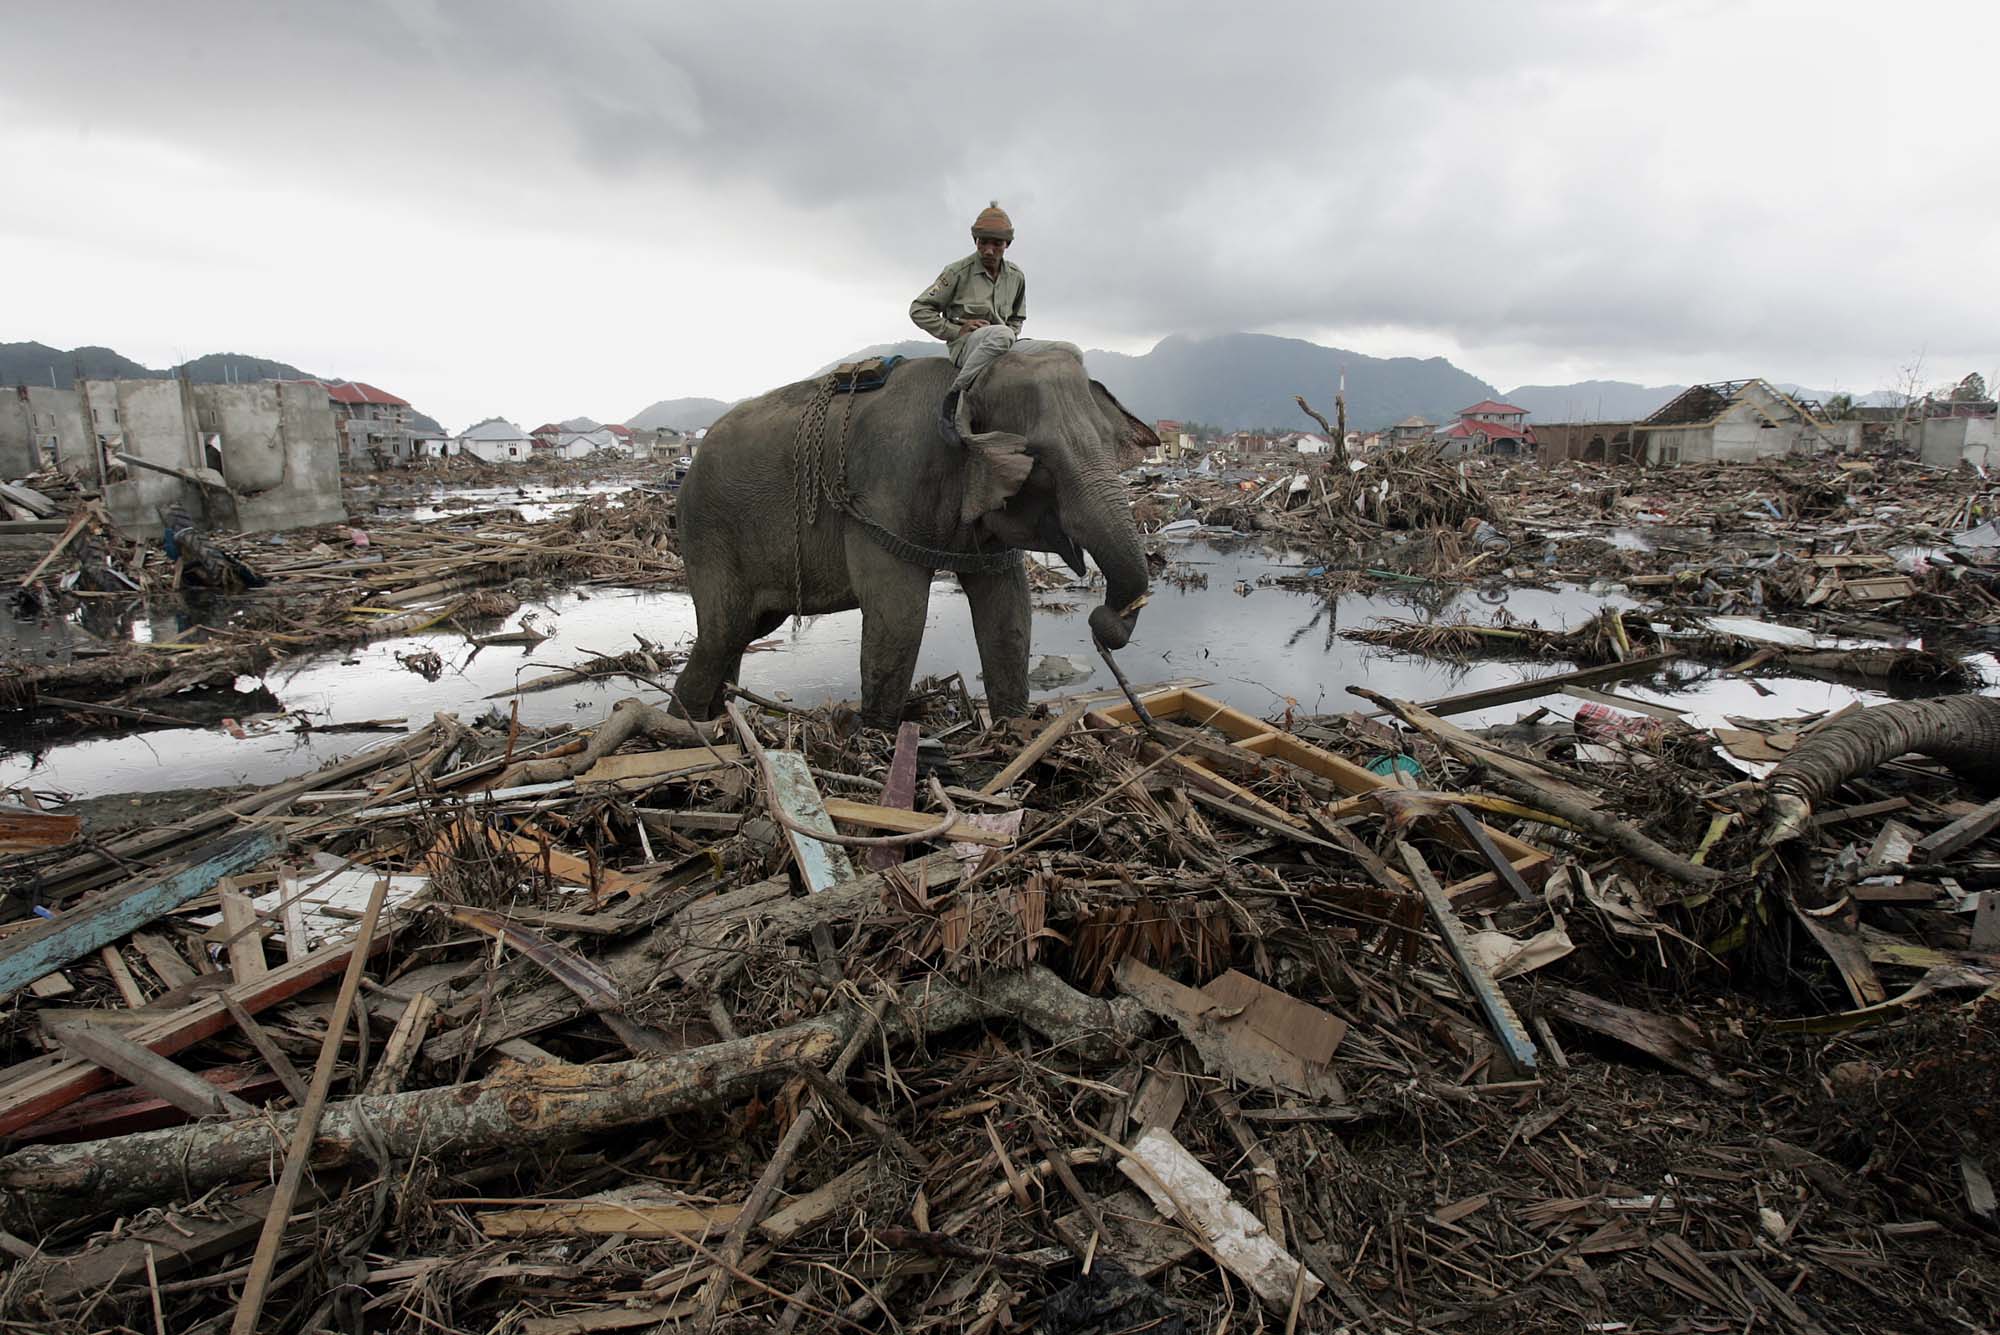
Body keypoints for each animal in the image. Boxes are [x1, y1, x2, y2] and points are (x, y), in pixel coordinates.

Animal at [676, 343, 1160, 719]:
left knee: (744, 632)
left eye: (1111, 443)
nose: (1102, 623)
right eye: (1038, 460)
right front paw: (877, 738)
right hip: (709, 534)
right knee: (722, 633)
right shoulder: (884, 488)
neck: (963, 387)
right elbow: (900, 616)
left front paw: (1015, 732)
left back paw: (716, 721)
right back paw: (690, 729)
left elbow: (1009, 611)